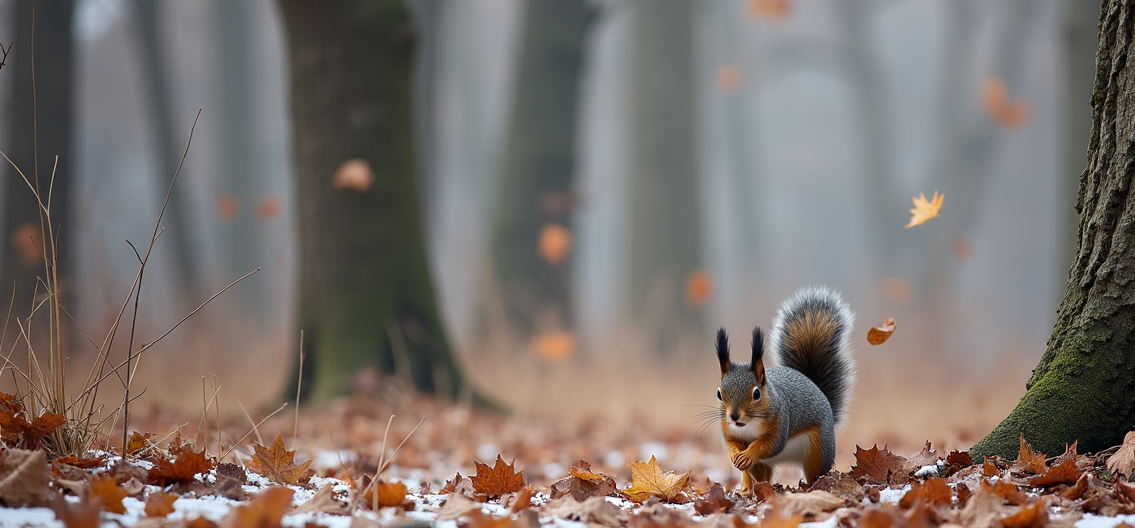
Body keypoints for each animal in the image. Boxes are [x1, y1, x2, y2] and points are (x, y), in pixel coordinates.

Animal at [715, 286, 855, 492]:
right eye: (719, 393)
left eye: (756, 393)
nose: (734, 416)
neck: (749, 424)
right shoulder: (729, 430)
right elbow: (730, 443)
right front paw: (734, 454)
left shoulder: (780, 422)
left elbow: (769, 445)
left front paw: (749, 453)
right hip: (762, 466)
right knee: (755, 475)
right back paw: (746, 490)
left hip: (818, 449)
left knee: (815, 471)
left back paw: (813, 487)